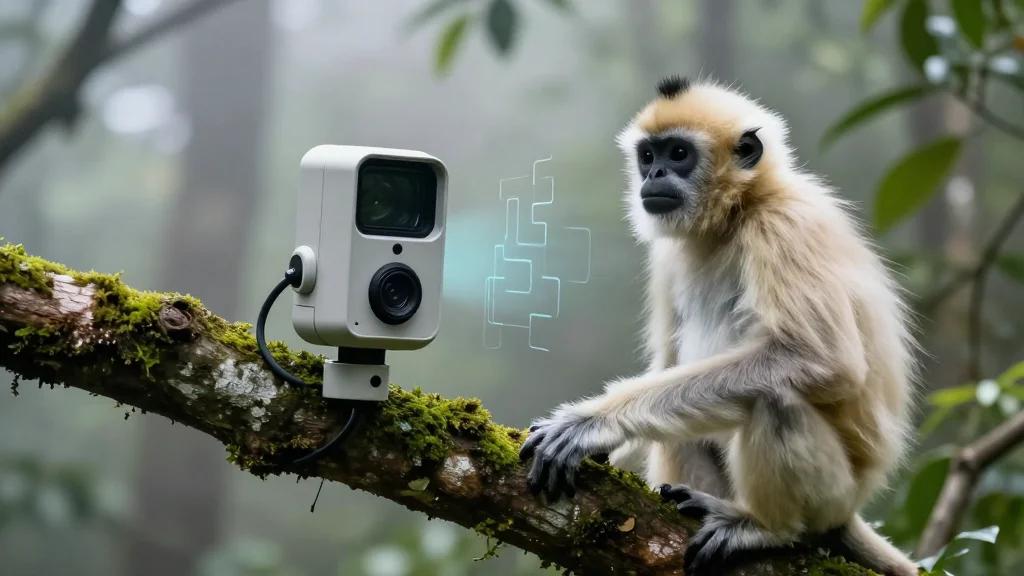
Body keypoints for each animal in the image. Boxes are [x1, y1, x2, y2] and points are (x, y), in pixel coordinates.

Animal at [519, 76, 918, 576]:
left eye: (678, 154)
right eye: (647, 156)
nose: (653, 176)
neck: (736, 214)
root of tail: (851, 509)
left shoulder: (785, 225)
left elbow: (824, 359)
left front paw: (593, 424)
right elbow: (667, 366)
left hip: (834, 496)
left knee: (776, 398)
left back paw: (769, 528)